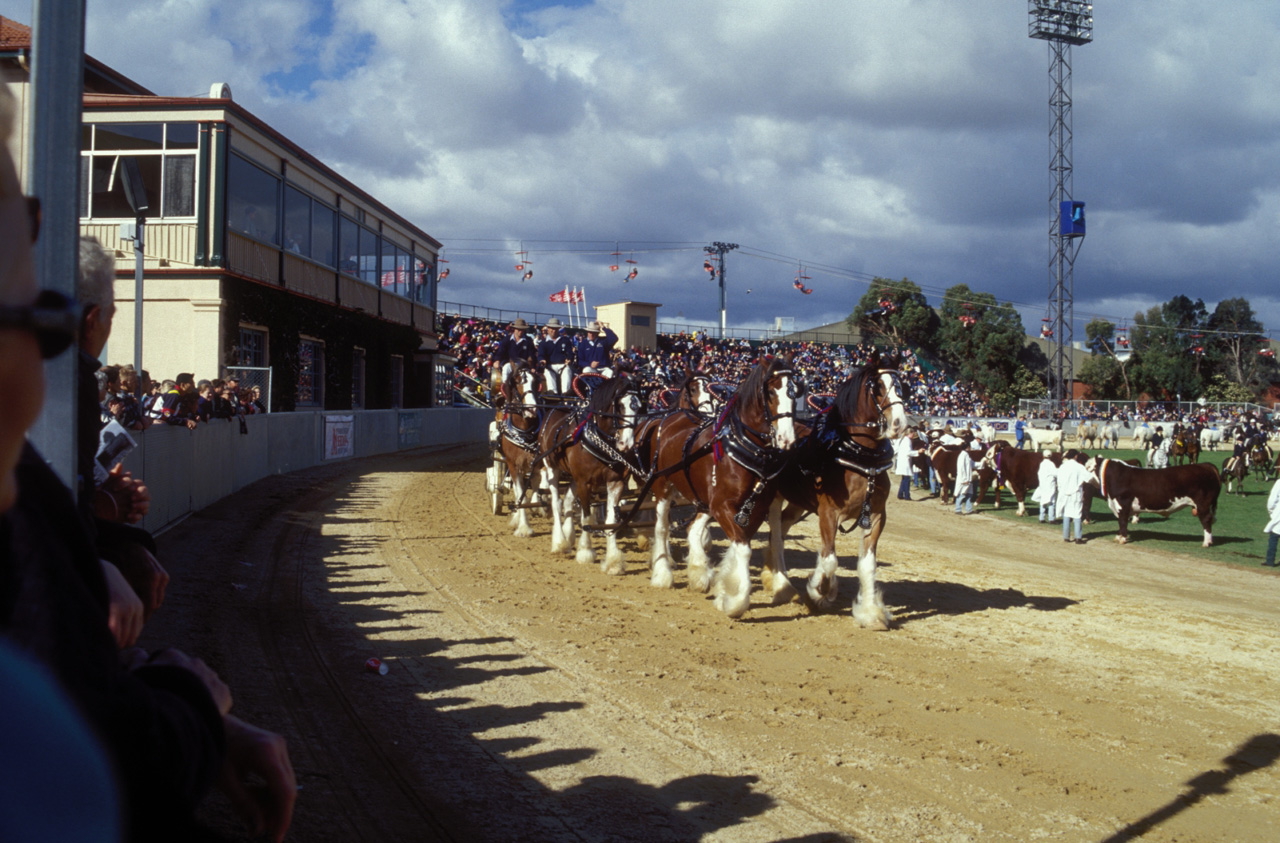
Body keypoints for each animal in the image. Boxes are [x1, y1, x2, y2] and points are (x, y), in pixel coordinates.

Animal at [535, 370, 645, 573]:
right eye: (619, 405)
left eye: (639, 407)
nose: (626, 444)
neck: (597, 439)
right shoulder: (584, 483)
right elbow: (586, 518)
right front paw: (585, 552)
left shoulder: (615, 483)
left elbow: (610, 519)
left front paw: (613, 561)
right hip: (552, 468)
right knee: (556, 502)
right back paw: (560, 541)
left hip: (572, 476)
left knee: (568, 501)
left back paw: (569, 536)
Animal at [640, 355, 798, 619]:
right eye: (770, 392)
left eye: (795, 392)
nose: (788, 441)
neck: (744, 447)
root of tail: (673, 416)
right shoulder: (722, 505)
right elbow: (743, 549)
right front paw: (735, 601)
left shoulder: (759, 506)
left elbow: (747, 542)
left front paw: (727, 589)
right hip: (663, 486)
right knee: (662, 528)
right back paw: (663, 574)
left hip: (703, 499)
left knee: (693, 528)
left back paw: (698, 574)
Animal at [757, 353, 911, 629]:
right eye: (878, 386)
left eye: (901, 385)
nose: (899, 424)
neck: (860, 458)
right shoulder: (828, 513)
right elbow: (830, 560)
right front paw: (819, 591)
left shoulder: (875, 516)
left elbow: (867, 565)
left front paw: (870, 612)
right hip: (773, 496)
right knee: (775, 532)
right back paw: (781, 581)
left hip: (799, 503)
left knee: (782, 528)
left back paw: (770, 573)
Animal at [1090, 457, 1218, 550]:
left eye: (1090, 468)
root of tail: (1206, 465)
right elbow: (1120, 521)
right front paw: (1118, 537)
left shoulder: (1123, 503)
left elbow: (1122, 521)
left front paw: (1122, 539)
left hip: (1202, 505)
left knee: (1206, 520)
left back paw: (1206, 542)